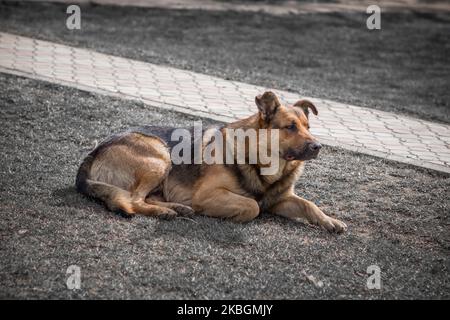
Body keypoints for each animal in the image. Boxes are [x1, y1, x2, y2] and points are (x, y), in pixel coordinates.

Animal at [75, 91, 346, 231]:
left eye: (308, 126)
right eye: (290, 126)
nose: (317, 147)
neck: (264, 162)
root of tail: (94, 152)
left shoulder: (281, 199)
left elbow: (309, 204)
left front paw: (329, 221)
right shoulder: (207, 194)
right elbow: (252, 206)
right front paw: (231, 214)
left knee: (144, 198)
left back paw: (177, 208)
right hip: (160, 157)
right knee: (133, 200)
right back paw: (167, 212)